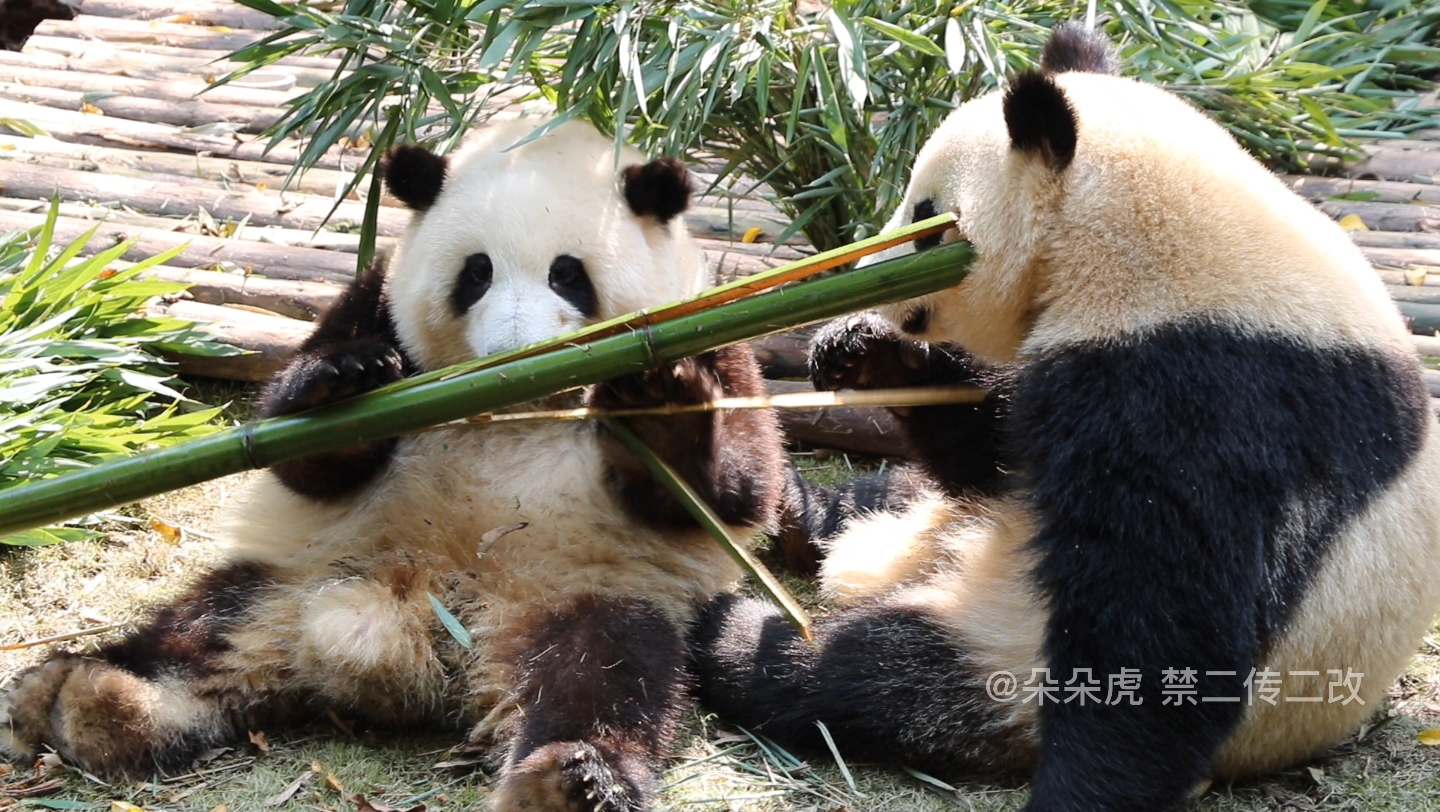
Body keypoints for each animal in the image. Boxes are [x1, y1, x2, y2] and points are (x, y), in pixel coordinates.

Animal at [2, 118, 789, 812]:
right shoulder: (376, 299)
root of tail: (432, 632)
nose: (513, 346)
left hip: (589, 591)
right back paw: (80, 697)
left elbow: (739, 487)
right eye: (477, 272)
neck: (516, 398)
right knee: (194, 634)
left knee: (605, 675)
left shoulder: (710, 322)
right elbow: (298, 448)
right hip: (291, 573)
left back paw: (568, 781)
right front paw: (345, 381)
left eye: (568, 274)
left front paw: (657, 405)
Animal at [691, 25, 1440, 812]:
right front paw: (862, 352)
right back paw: (795, 513)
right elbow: (995, 453)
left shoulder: (1206, 384)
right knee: (891, 496)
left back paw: (733, 632)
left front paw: (1083, 788)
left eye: (926, 219)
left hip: (1008, 651)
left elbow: (1163, 604)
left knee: (880, 675)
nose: (873, 285)